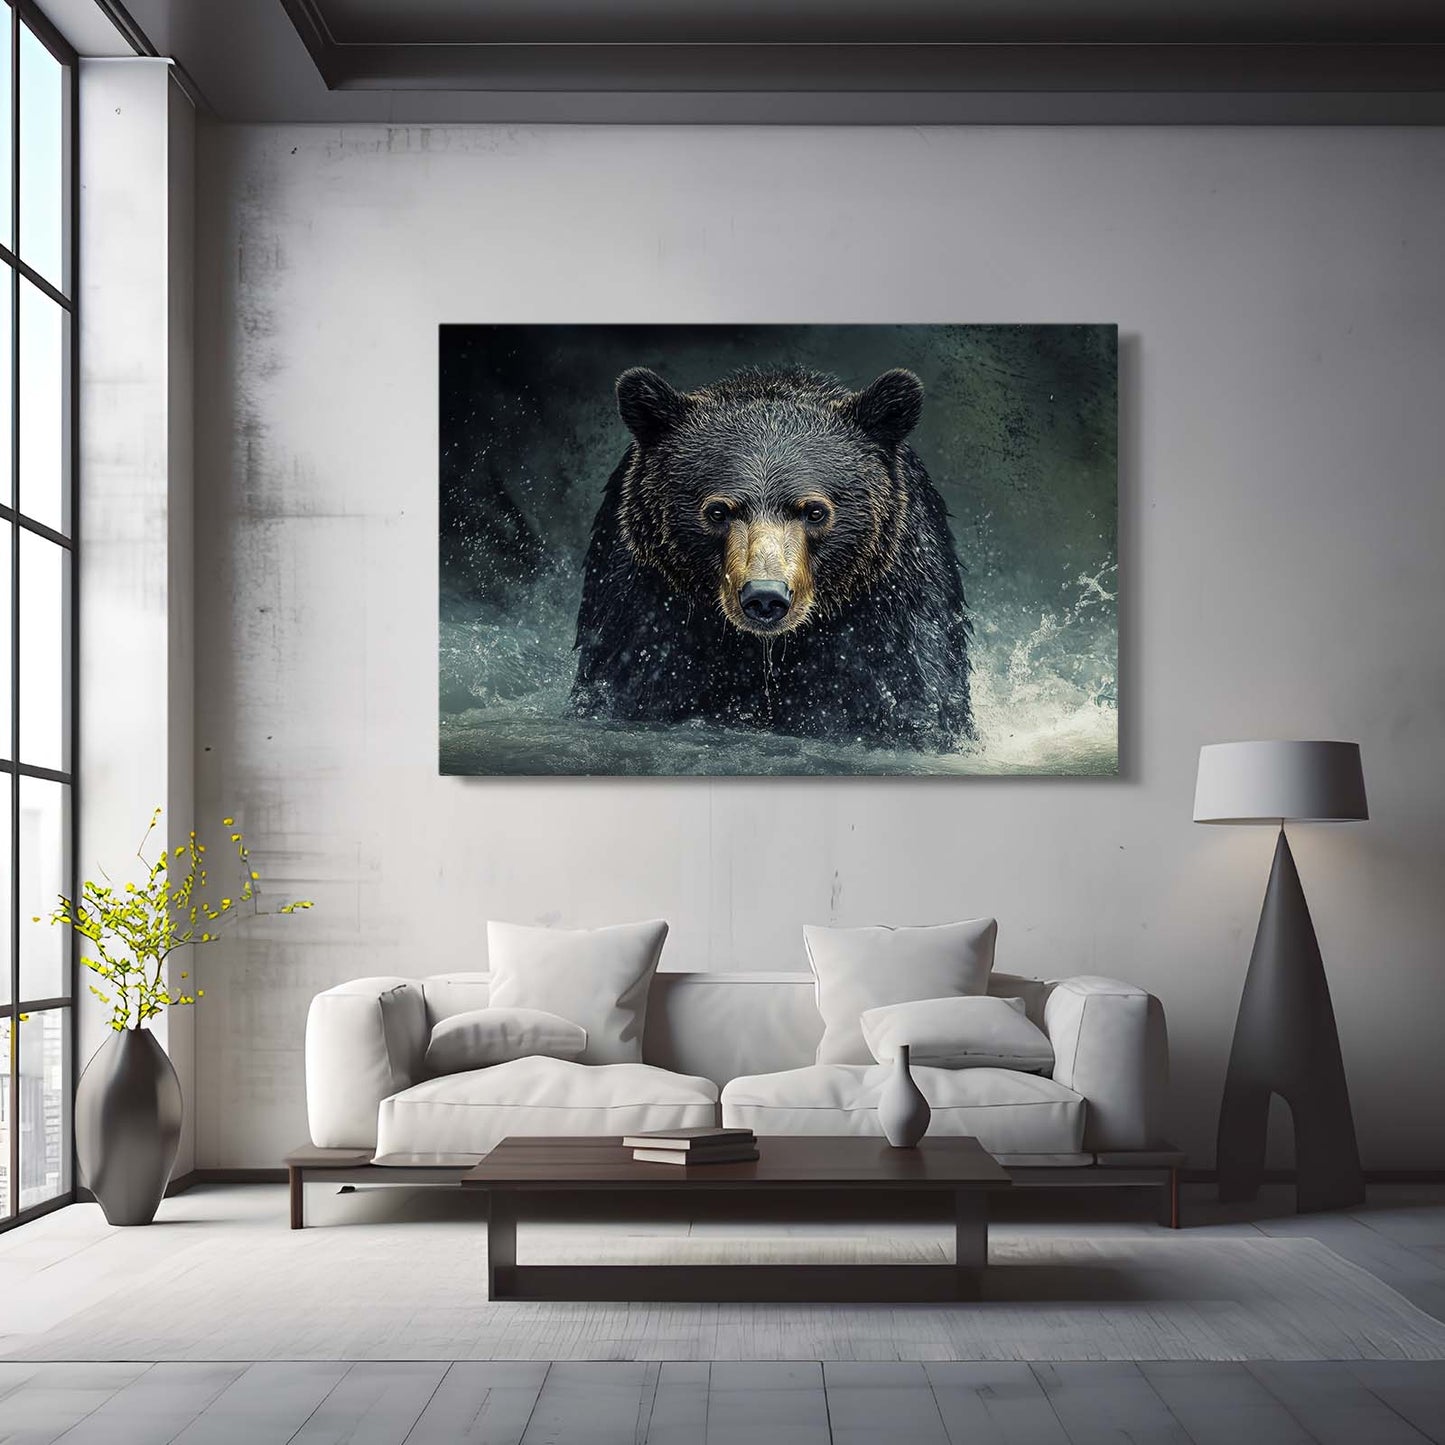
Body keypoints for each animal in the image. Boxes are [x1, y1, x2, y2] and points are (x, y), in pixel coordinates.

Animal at [569, 365, 973, 753]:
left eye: (815, 511)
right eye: (718, 511)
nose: (765, 595)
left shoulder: (891, 605)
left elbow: (907, 688)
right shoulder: (644, 601)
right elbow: (631, 678)